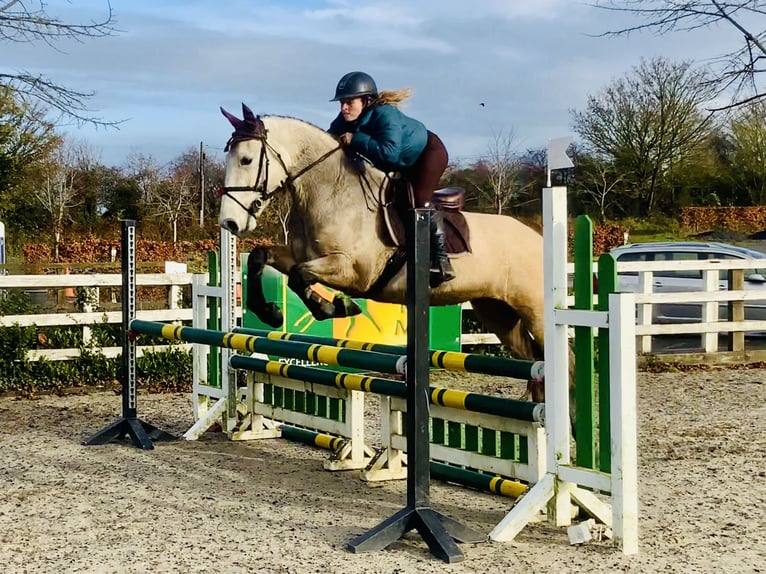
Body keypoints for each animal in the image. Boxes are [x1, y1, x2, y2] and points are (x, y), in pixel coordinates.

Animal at [218, 104, 547, 400]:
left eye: (246, 160)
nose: (229, 223)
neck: (332, 194)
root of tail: (537, 236)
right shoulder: (302, 255)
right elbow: (263, 258)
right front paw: (272, 313)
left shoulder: (354, 272)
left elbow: (300, 277)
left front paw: (336, 307)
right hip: (497, 313)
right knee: (534, 360)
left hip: (536, 313)